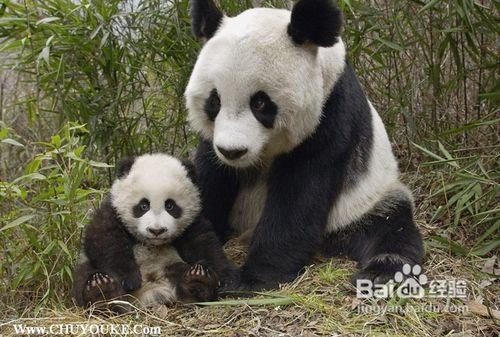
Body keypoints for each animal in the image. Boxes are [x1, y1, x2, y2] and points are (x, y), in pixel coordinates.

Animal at [72, 154, 236, 308]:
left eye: (170, 205)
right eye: (143, 205)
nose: (156, 231)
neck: (151, 243)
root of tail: (151, 292)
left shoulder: (191, 222)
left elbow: (204, 244)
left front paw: (226, 279)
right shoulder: (112, 211)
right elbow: (104, 240)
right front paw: (129, 279)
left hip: (171, 264)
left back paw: (199, 281)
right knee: (84, 274)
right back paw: (101, 290)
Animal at [186, 0, 424, 288]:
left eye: (260, 103)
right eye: (214, 101)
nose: (232, 151)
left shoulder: (330, 114)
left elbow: (299, 196)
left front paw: (253, 278)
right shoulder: (213, 143)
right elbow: (210, 177)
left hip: (366, 200)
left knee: (391, 226)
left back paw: (381, 271)